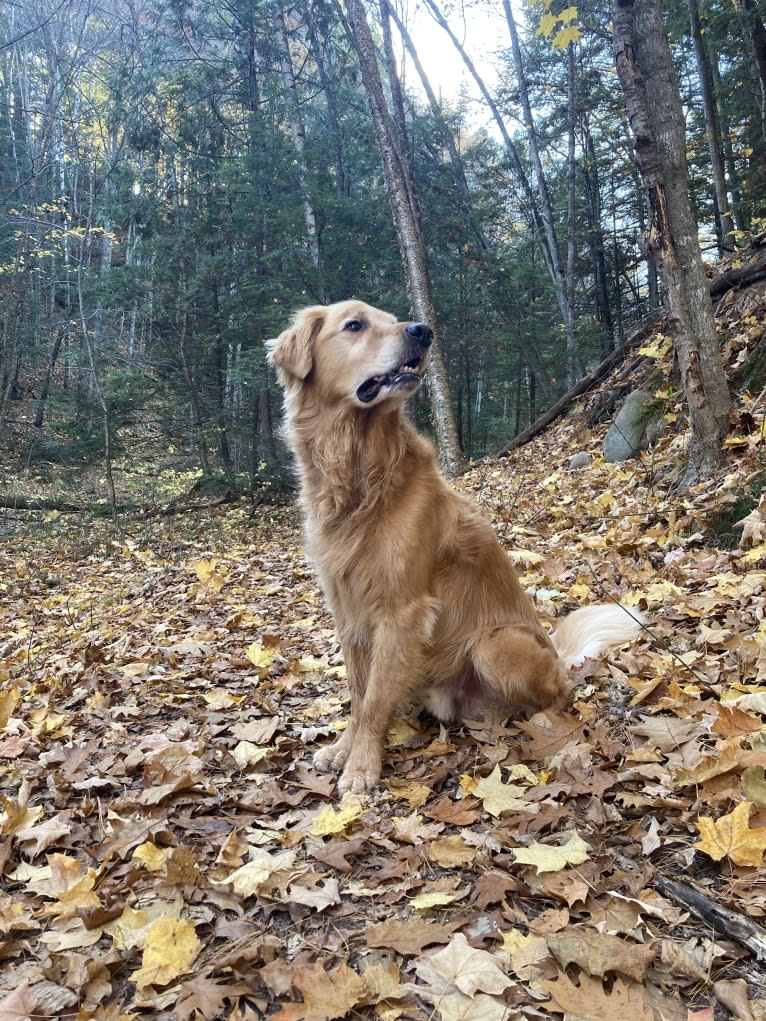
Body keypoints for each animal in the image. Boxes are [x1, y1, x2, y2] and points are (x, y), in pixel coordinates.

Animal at [267, 298, 645, 792]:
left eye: (391, 319)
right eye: (355, 325)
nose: (422, 331)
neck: (359, 474)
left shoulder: (402, 610)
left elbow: (372, 700)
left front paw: (361, 767)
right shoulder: (347, 610)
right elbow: (358, 691)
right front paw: (343, 749)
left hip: (496, 645)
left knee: (560, 694)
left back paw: (542, 725)